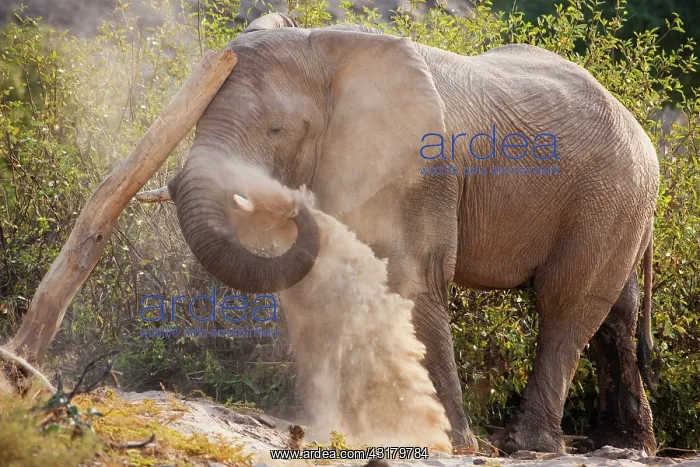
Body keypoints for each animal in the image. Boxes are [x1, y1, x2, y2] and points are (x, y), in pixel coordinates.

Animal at [156, 13, 661, 454]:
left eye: (277, 129)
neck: (328, 50)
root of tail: (642, 130)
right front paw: (333, 426)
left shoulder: (423, 170)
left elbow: (412, 279)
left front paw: (443, 439)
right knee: (616, 315)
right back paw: (624, 444)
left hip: (608, 195)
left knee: (565, 302)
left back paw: (528, 445)